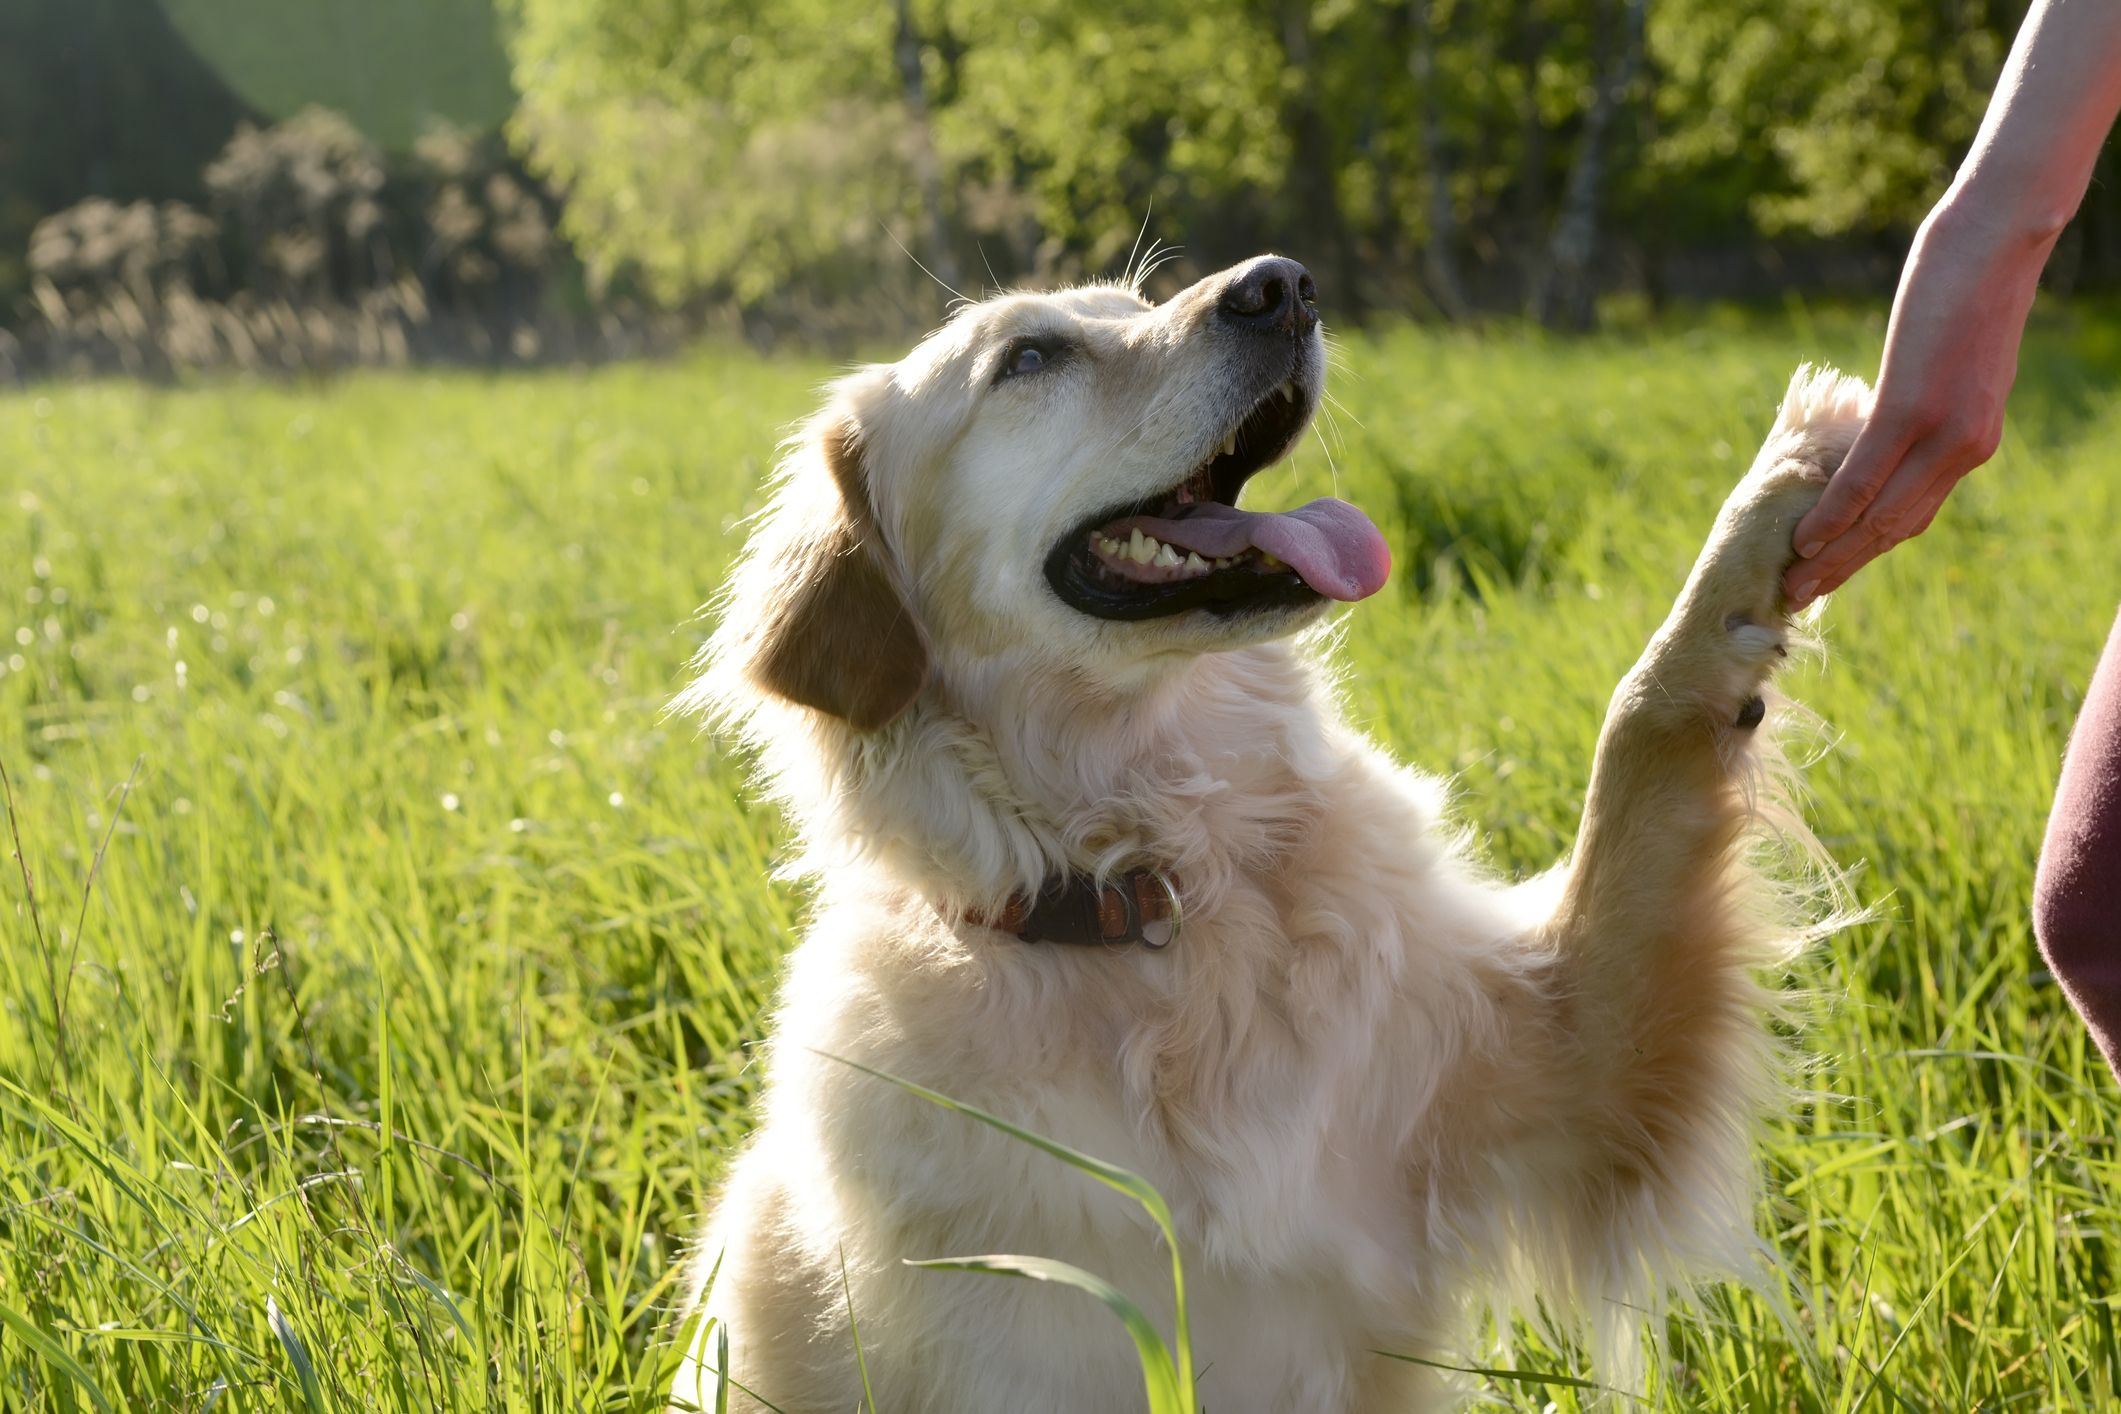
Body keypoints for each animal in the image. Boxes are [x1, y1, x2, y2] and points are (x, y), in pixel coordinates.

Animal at [670, 257, 1866, 1414]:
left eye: (1136, 300)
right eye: (1030, 357)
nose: (1281, 284)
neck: (1165, 894)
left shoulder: (1571, 1067)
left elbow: (1640, 738)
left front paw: (1784, 482)